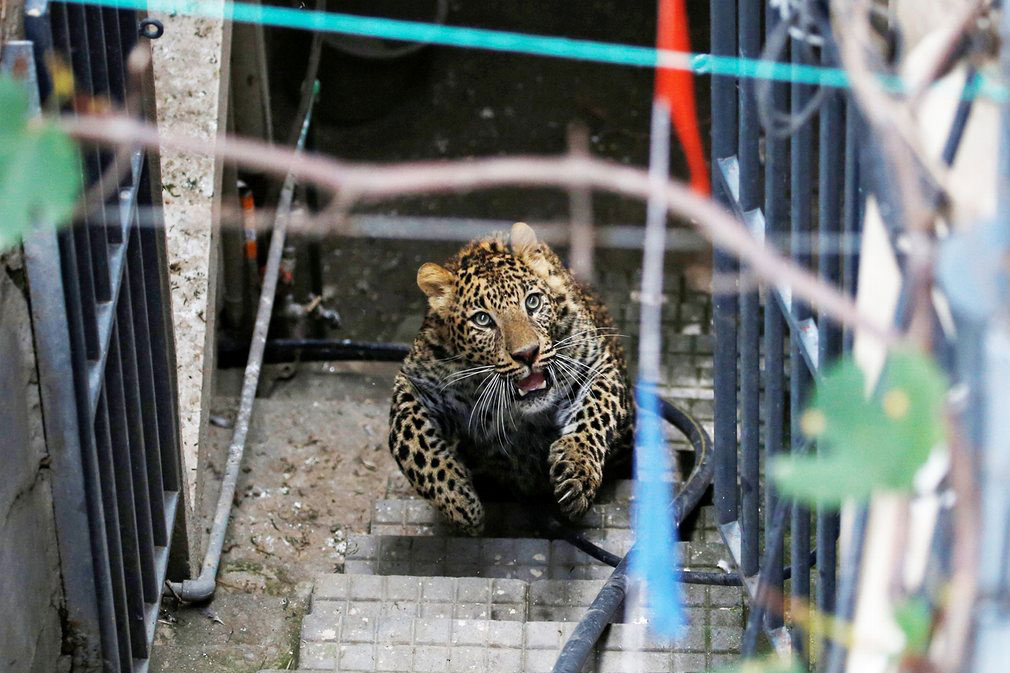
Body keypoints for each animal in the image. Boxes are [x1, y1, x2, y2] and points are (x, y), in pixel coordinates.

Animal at [387, 222, 635, 535]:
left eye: (533, 302)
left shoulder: (597, 364)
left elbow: (596, 410)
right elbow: (410, 440)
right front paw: (459, 502)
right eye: (483, 320)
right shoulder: (416, 384)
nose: (527, 354)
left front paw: (576, 468)